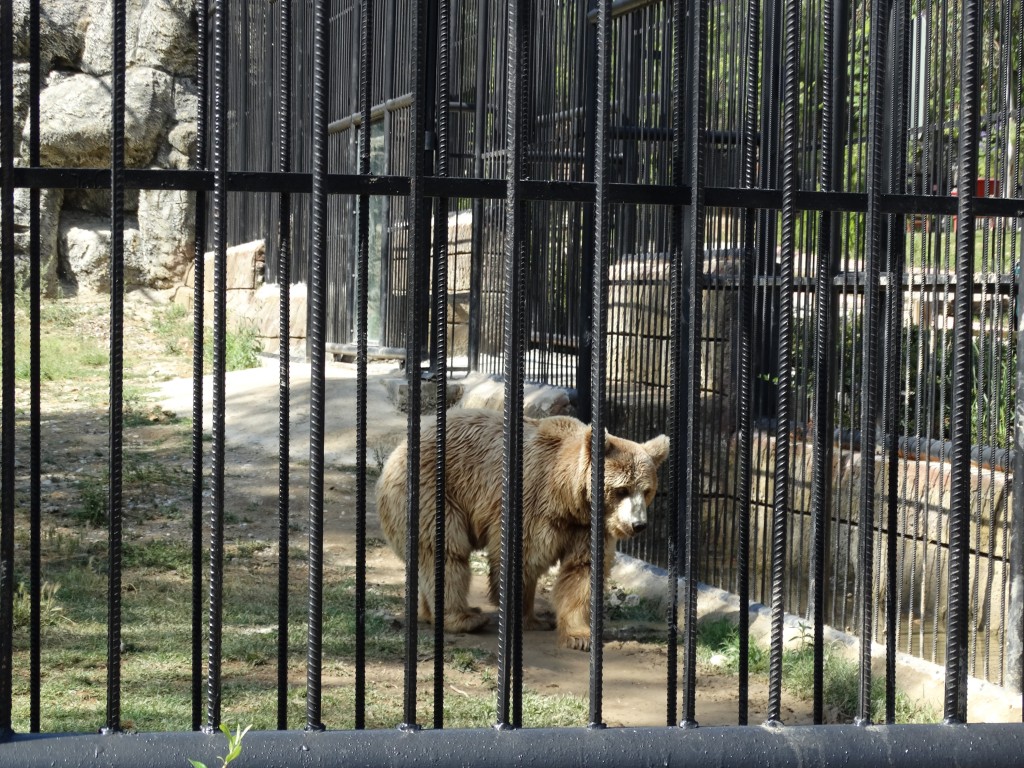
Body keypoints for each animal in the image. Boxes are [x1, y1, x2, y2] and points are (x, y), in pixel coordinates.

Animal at [376, 409, 671, 651]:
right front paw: (528, 617)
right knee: (446, 552)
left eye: (646, 491)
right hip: (435, 493)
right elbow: (525, 559)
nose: (637, 525)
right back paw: (464, 617)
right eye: (621, 489)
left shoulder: (585, 528)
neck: (568, 499)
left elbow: (581, 572)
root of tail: (395, 453)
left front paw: (579, 635)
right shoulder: (532, 505)